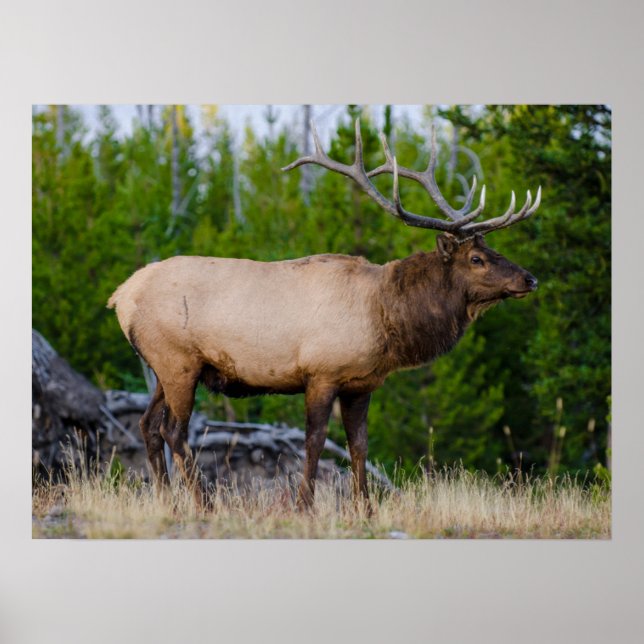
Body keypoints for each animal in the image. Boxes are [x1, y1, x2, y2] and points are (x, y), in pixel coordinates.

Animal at [108, 119, 540, 512]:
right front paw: (305, 506)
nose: (530, 278)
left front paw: (365, 508)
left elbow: (359, 444)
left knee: (148, 425)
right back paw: (204, 504)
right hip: (178, 360)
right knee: (174, 431)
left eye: (493, 250)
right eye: (477, 258)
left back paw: (167, 502)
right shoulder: (320, 373)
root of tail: (120, 296)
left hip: (163, 366)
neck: (385, 316)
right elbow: (314, 441)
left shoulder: (361, 384)